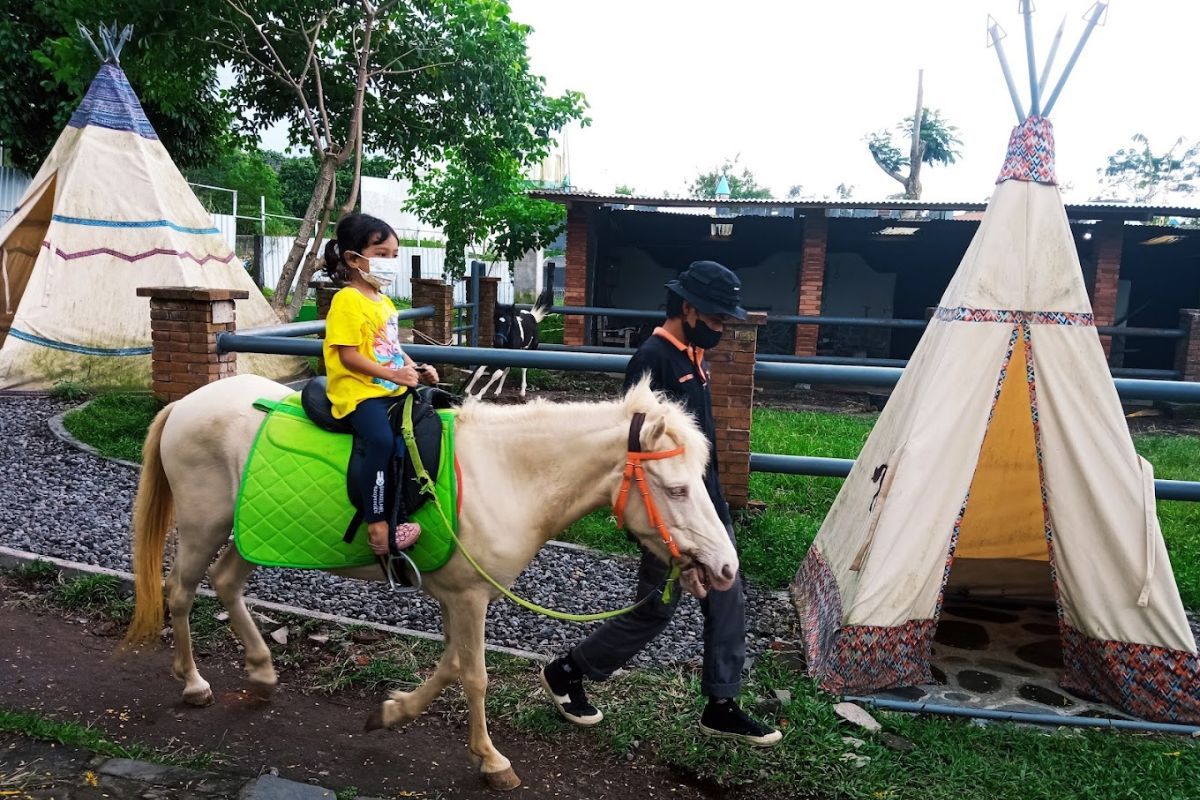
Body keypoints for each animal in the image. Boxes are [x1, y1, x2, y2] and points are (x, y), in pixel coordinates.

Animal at [126, 374, 734, 786]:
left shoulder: (458, 595)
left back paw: (261, 670)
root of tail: (185, 403)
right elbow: (476, 676)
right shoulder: (470, 596)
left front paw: (391, 712)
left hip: (254, 532)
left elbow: (450, 665)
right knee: (182, 592)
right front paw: (492, 760)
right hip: (204, 524)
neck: (505, 474)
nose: (726, 568)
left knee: (227, 582)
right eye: (677, 488)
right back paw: (194, 683)